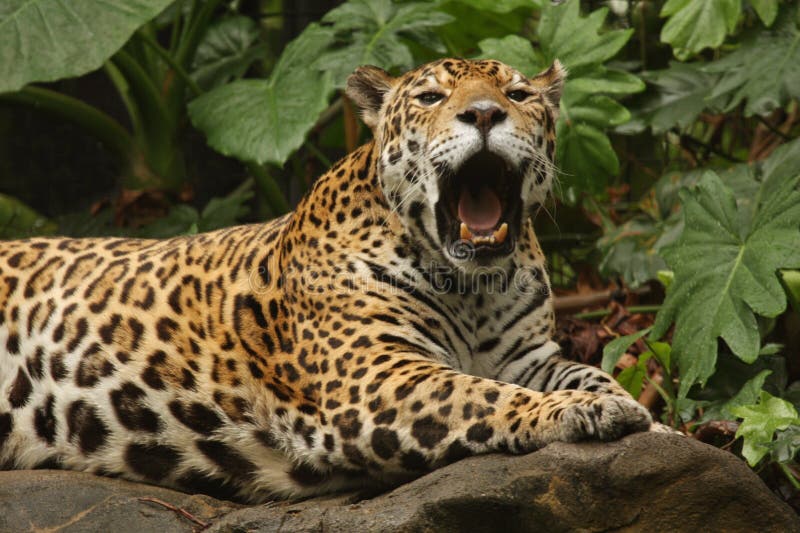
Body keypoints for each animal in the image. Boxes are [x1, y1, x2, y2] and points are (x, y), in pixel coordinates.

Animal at [0, 58, 652, 503]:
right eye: (432, 97)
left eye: (517, 95)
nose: (485, 114)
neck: (474, 289)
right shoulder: (375, 373)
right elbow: (480, 394)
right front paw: (583, 411)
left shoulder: (529, 357)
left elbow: (586, 373)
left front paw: (633, 411)